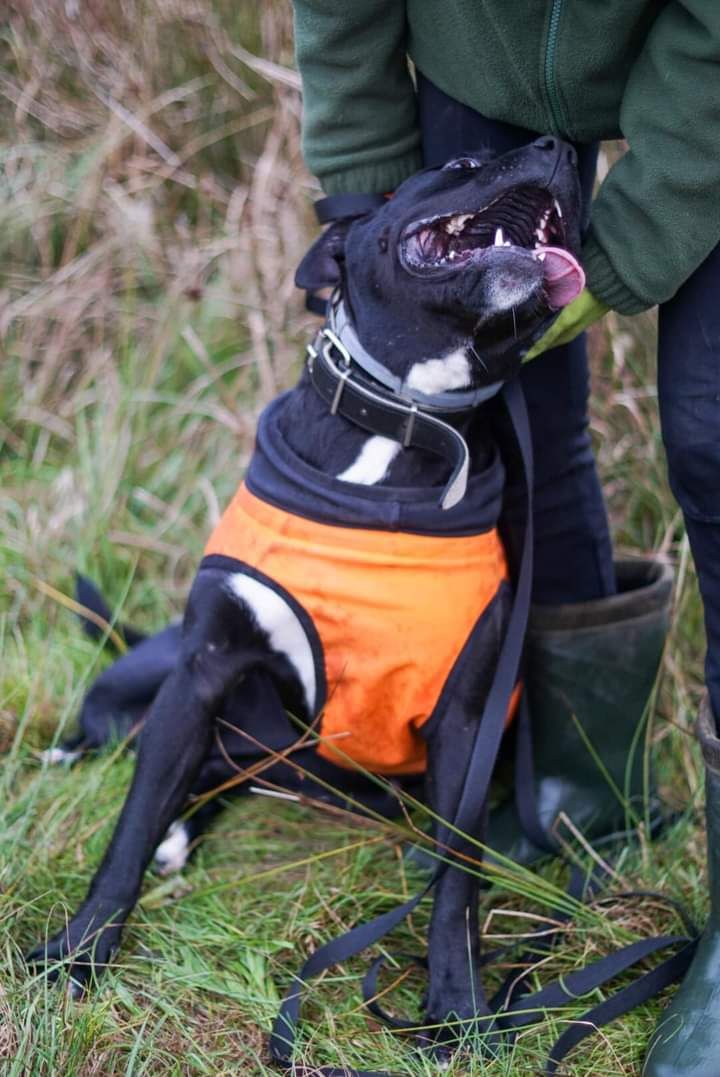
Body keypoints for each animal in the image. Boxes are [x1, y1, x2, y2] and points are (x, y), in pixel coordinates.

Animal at [30, 138, 585, 1046]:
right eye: (462, 161)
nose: (559, 145)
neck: (400, 426)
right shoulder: (201, 673)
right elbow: (127, 829)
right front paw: (78, 954)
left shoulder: (468, 720)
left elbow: (457, 876)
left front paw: (457, 1002)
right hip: (140, 707)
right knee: (145, 756)